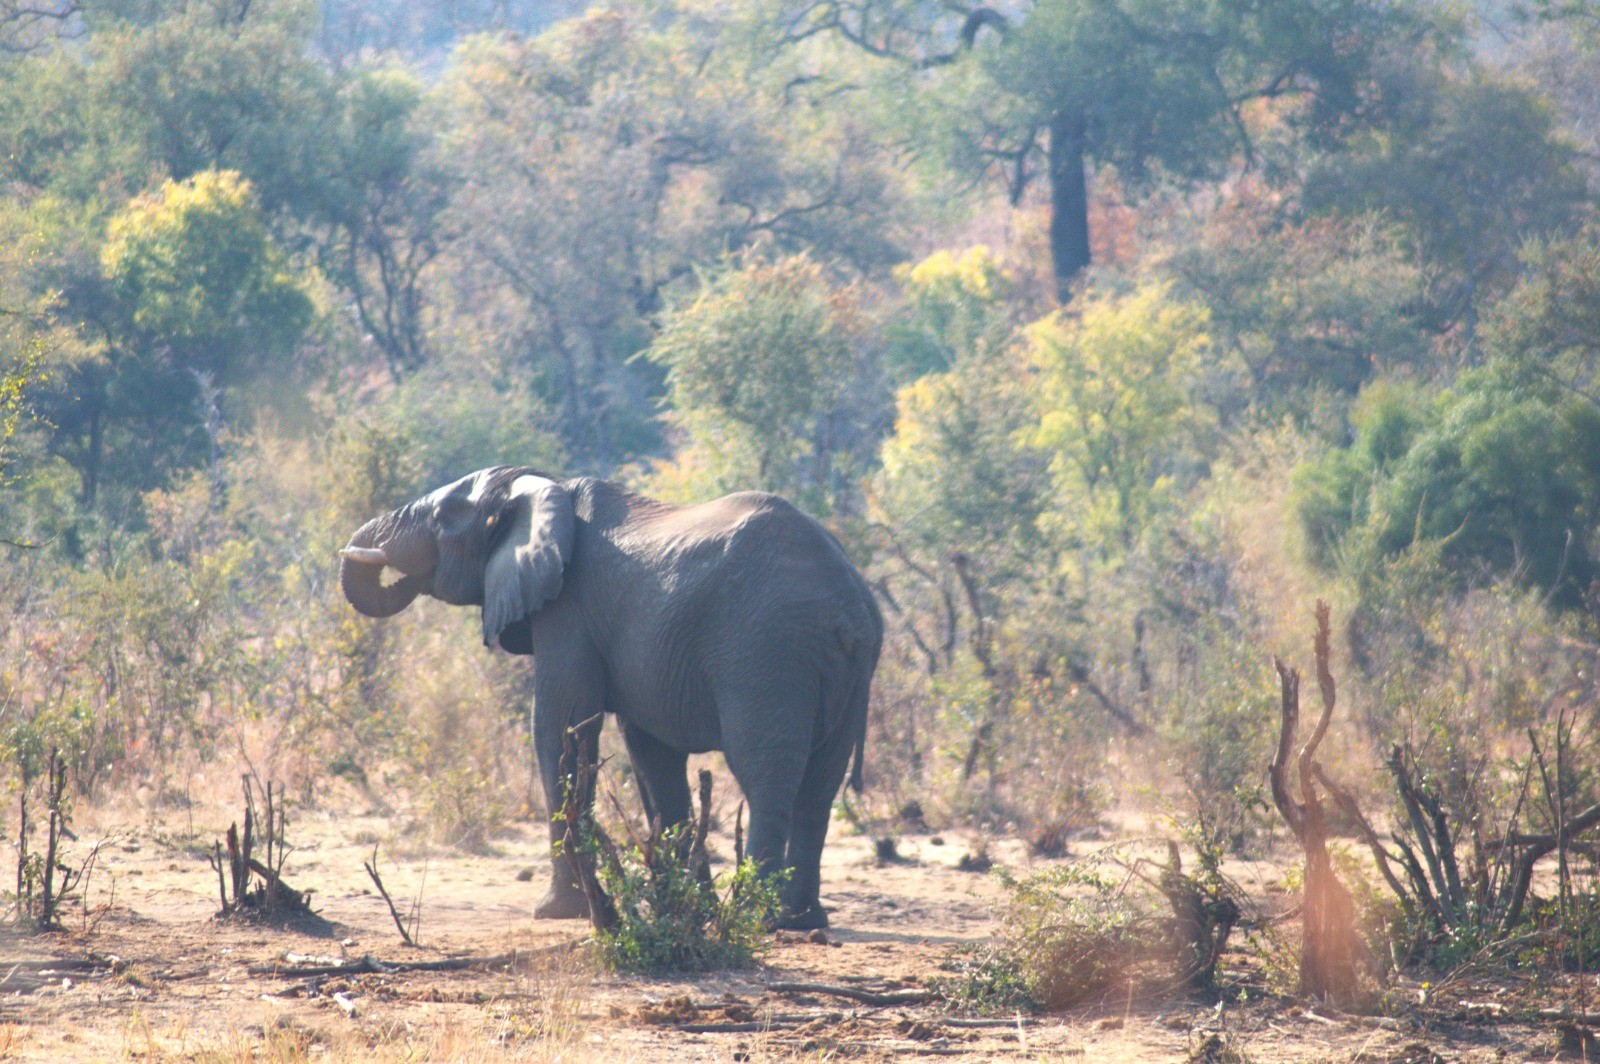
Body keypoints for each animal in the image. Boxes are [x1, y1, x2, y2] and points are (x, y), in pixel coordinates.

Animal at [338, 466, 882, 929]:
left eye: (441, 516)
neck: (542, 487)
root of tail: (849, 606)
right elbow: (651, 754)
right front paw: (685, 906)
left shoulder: (569, 609)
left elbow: (561, 728)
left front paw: (559, 913)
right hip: (841, 670)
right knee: (819, 788)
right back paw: (800, 920)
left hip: (767, 652)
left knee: (766, 774)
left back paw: (756, 917)